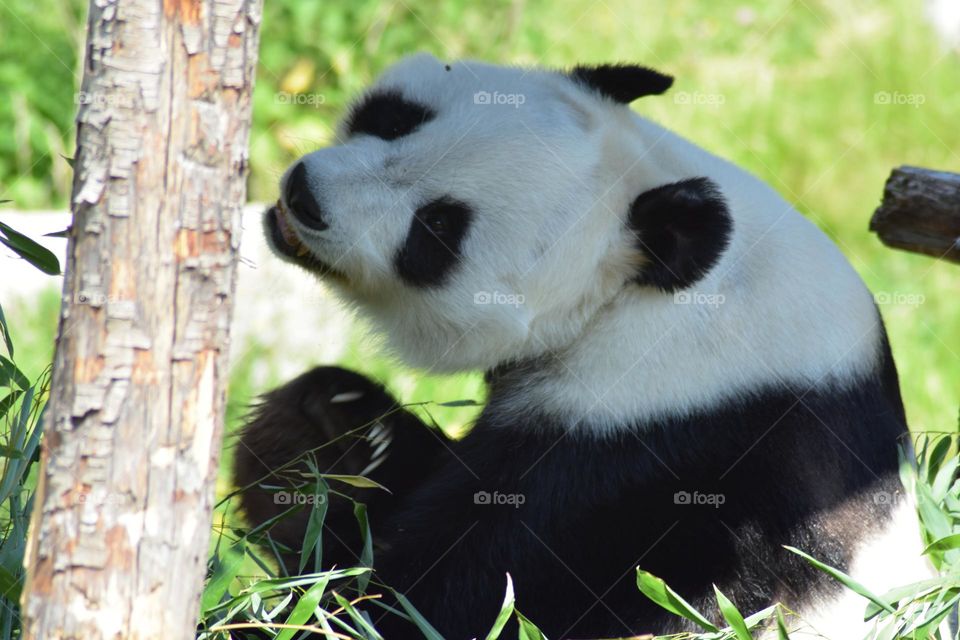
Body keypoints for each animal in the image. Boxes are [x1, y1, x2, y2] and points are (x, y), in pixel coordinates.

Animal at [234, 53, 931, 639]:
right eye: (397, 118)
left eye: (437, 228)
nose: (304, 195)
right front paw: (332, 431)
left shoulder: (658, 434)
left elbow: (460, 588)